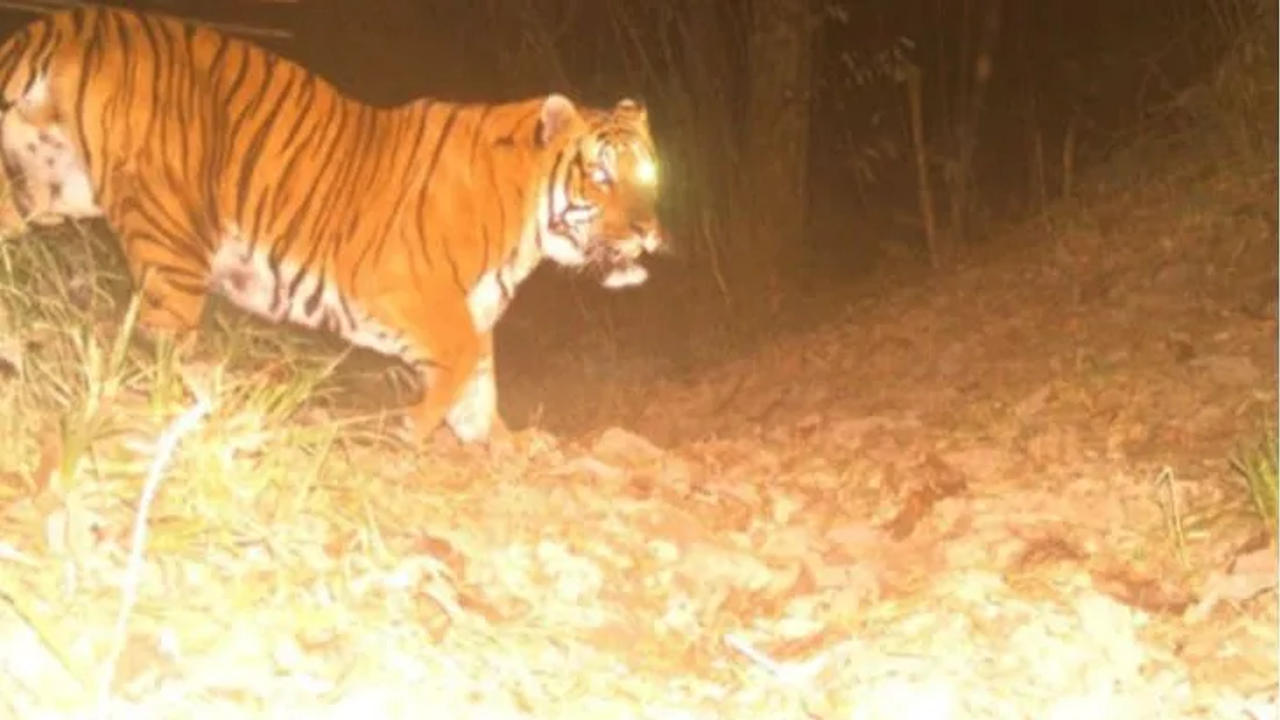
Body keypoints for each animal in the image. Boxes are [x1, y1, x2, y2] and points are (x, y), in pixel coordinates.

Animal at [0, 5, 665, 443]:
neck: (527, 229)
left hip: (36, 186)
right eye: (600, 177)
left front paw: (501, 443)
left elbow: (480, 383)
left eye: (650, 176)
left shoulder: (471, 309)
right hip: (173, 234)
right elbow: (459, 362)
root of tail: (60, 24)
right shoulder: (408, 291)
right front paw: (414, 426)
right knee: (165, 341)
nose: (649, 234)